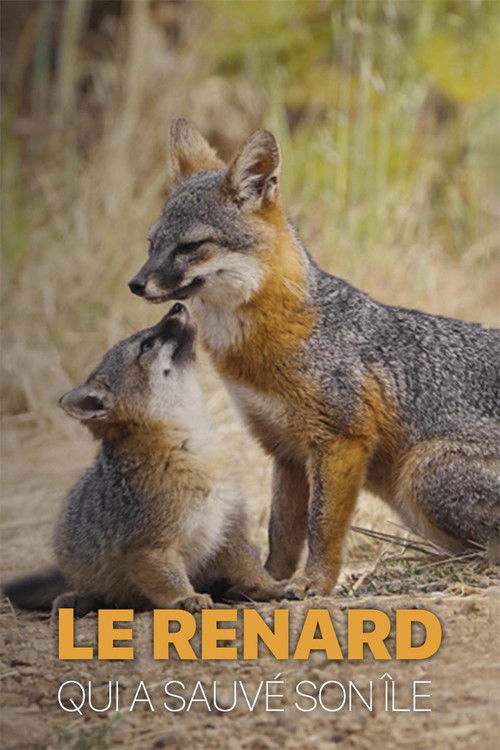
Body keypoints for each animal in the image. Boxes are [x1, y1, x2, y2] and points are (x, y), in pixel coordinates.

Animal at [3, 303, 284, 614]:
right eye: (146, 345)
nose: (177, 305)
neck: (194, 448)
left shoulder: (228, 525)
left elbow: (250, 565)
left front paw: (269, 587)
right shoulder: (147, 545)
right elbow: (168, 580)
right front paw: (185, 598)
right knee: (92, 593)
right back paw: (74, 599)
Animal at [128, 118, 500, 599]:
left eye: (191, 246)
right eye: (152, 244)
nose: (136, 284)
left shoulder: (340, 439)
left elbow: (322, 525)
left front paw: (314, 583)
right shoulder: (284, 450)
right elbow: (282, 532)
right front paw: (268, 583)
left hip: (420, 471)